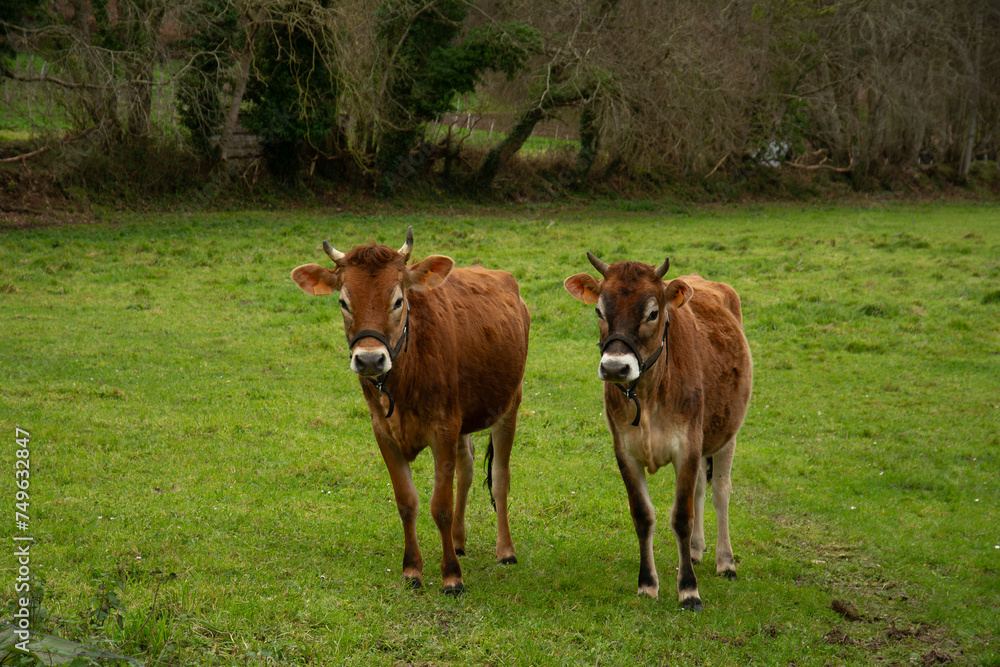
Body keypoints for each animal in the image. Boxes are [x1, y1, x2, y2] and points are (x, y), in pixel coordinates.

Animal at [291, 227, 529, 594]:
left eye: (398, 300)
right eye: (343, 302)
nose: (370, 359)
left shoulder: (443, 428)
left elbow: (440, 506)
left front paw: (451, 576)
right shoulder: (384, 432)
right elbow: (407, 502)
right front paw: (412, 570)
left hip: (509, 402)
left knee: (500, 476)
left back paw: (505, 550)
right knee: (467, 466)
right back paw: (458, 540)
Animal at [564, 253, 752, 611]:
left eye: (653, 313)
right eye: (599, 311)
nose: (615, 367)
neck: (649, 396)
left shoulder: (687, 445)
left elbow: (681, 517)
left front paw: (688, 589)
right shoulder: (624, 450)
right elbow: (643, 515)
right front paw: (647, 584)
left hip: (726, 435)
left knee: (720, 492)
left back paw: (726, 561)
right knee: (700, 490)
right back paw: (695, 549)